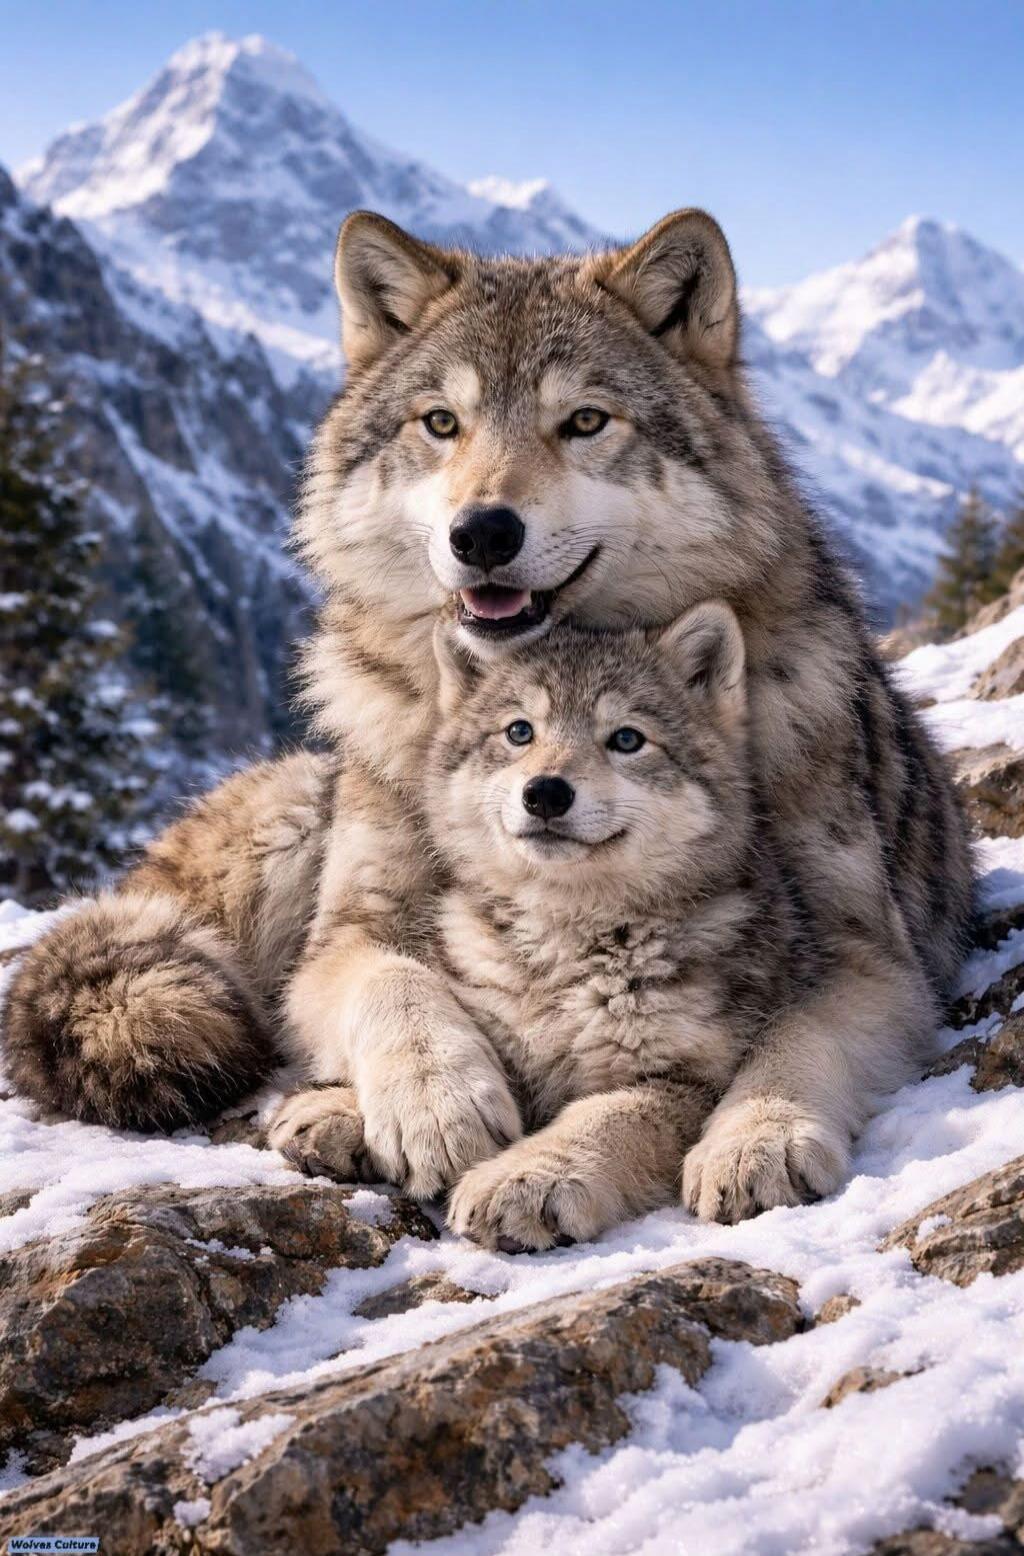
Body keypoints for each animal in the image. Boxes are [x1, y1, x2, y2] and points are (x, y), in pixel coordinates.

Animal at [3, 207, 974, 1222]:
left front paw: (758, 1137)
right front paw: (440, 1107)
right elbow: (399, 986)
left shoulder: (869, 959)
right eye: (442, 423)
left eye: (584, 421)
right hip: (298, 820)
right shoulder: (348, 935)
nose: (482, 533)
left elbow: (791, 1047)